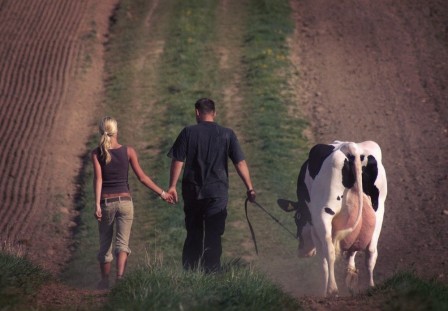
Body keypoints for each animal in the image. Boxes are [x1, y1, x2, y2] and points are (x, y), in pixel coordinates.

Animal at [278, 141, 386, 298]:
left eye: (297, 218)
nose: (301, 252)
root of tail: (350, 147)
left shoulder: (314, 227)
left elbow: (323, 259)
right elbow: (352, 249)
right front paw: (351, 276)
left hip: (324, 215)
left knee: (329, 251)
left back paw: (331, 289)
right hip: (378, 212)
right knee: (371, 251)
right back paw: (370, 286)